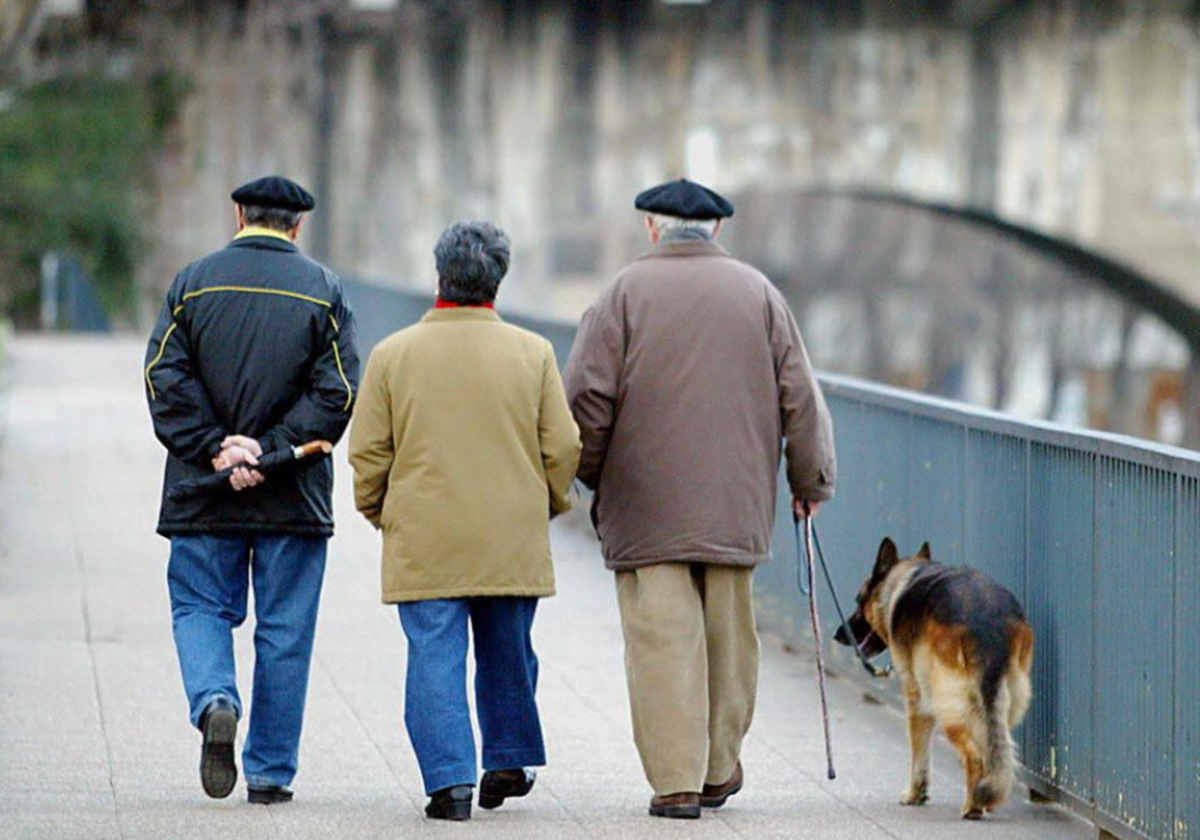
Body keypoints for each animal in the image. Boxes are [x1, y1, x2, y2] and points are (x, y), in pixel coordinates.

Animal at [835, 537, 1032, 820]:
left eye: (858, 601)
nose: (839, 633)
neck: (900, 581)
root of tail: (988, 621)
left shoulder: (916, 697)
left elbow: (919, 752)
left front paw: (915, 794)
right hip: (1004, 704)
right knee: (993, 753)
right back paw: (985, 798)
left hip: (948, 704)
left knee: (974, 756)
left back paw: (972, 807)